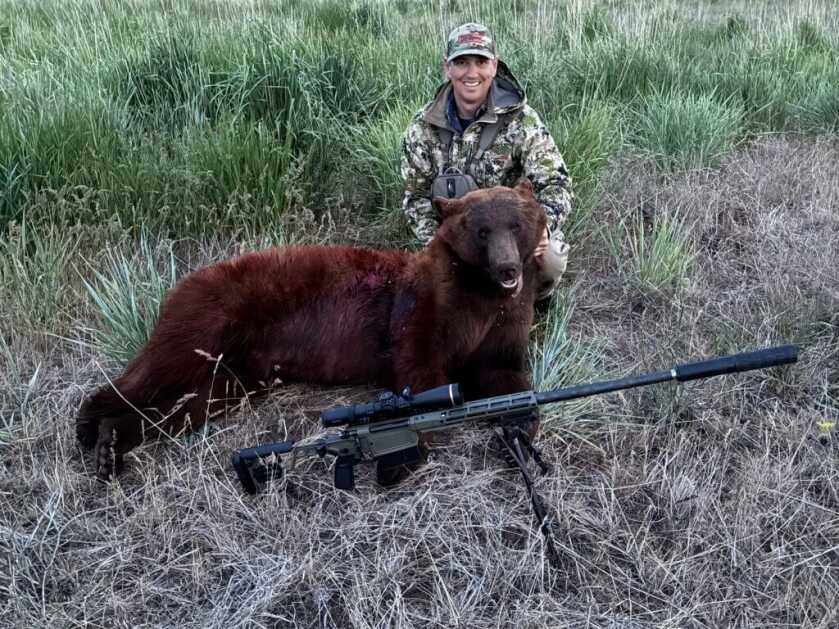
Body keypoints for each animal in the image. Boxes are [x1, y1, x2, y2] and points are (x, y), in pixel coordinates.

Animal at [76, 180, 547, 482]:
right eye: (482, 231)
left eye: (515, 225)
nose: (508, 268)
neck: (481, 296)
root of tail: (184, 283)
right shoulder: (425, 305)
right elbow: (418, 366)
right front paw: (408, 450)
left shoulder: (505, 323)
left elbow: (503, 372)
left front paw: (520, 425)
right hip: (212, 316)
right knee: (160, 371)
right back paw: (90, 426)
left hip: (239, 371)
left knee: (191, 403)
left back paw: (112, 445)